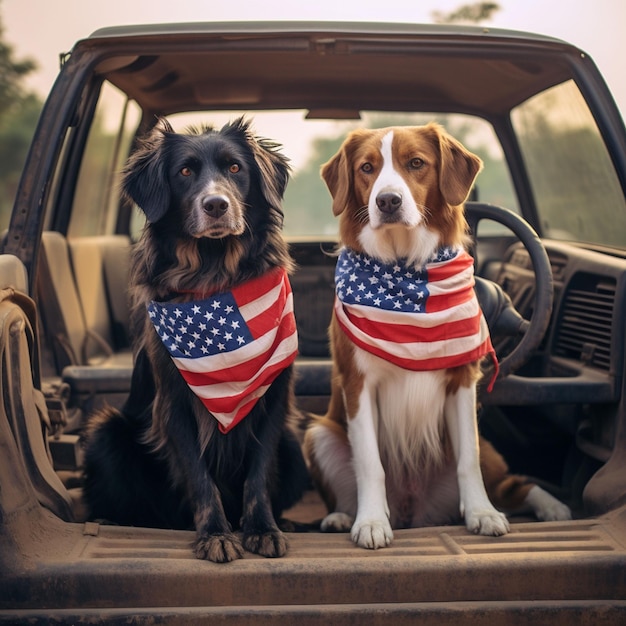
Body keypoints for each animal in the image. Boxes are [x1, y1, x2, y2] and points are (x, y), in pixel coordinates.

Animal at [83, 117, 308, 560]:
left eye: (235, 168)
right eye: (185, 172)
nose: (216, 205)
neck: (214, 272)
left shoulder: (274, 399)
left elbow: (259, 474)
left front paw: (263, 528)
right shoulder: (173, 405)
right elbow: (200, 477)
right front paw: (216, 534)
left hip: (294, 444)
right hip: (106, 434)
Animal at [304, 124, 572, 548]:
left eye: (416, 163)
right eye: (367, 168)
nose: (388, 201)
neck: (404, 268)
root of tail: (414, 511)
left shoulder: (462, 380)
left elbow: (467, 461)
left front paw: (481, 514)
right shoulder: (357, 384)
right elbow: (370, 463)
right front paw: (370, 521)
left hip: (488, 450)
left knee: (514, 483)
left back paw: (552, 507)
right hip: (319, 434)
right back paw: (343, 515)